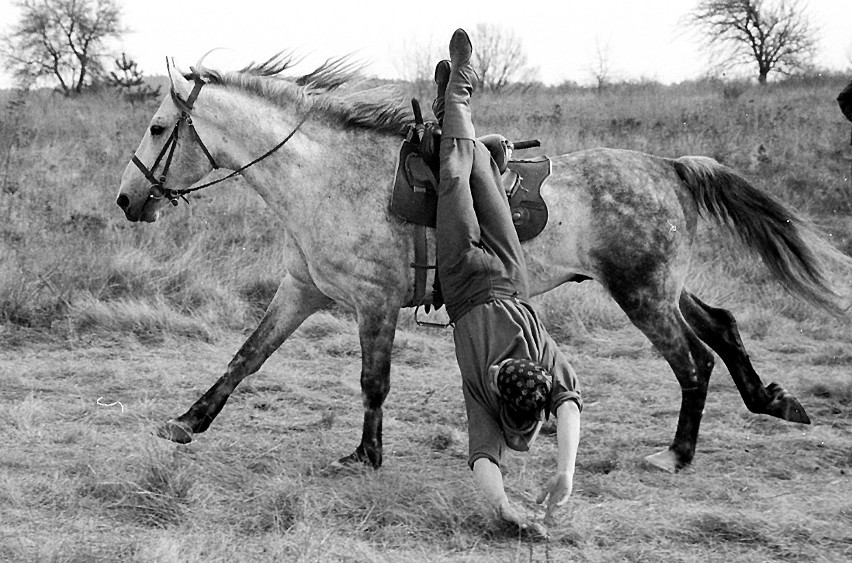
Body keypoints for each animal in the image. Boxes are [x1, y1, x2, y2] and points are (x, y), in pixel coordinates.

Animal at [116, 57, 848, 474]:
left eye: (157, 128)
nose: (126, 199)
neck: (326, 174)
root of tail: (667, 167)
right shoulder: (301, 291)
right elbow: (246, 357)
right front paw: (187, 422)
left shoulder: (373, 303)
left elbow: (373, 382)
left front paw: (365, 456)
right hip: (663, 286)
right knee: (721, 324)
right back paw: (772, 400)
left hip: (642, 294)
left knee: (694, 360)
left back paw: (678, 453)